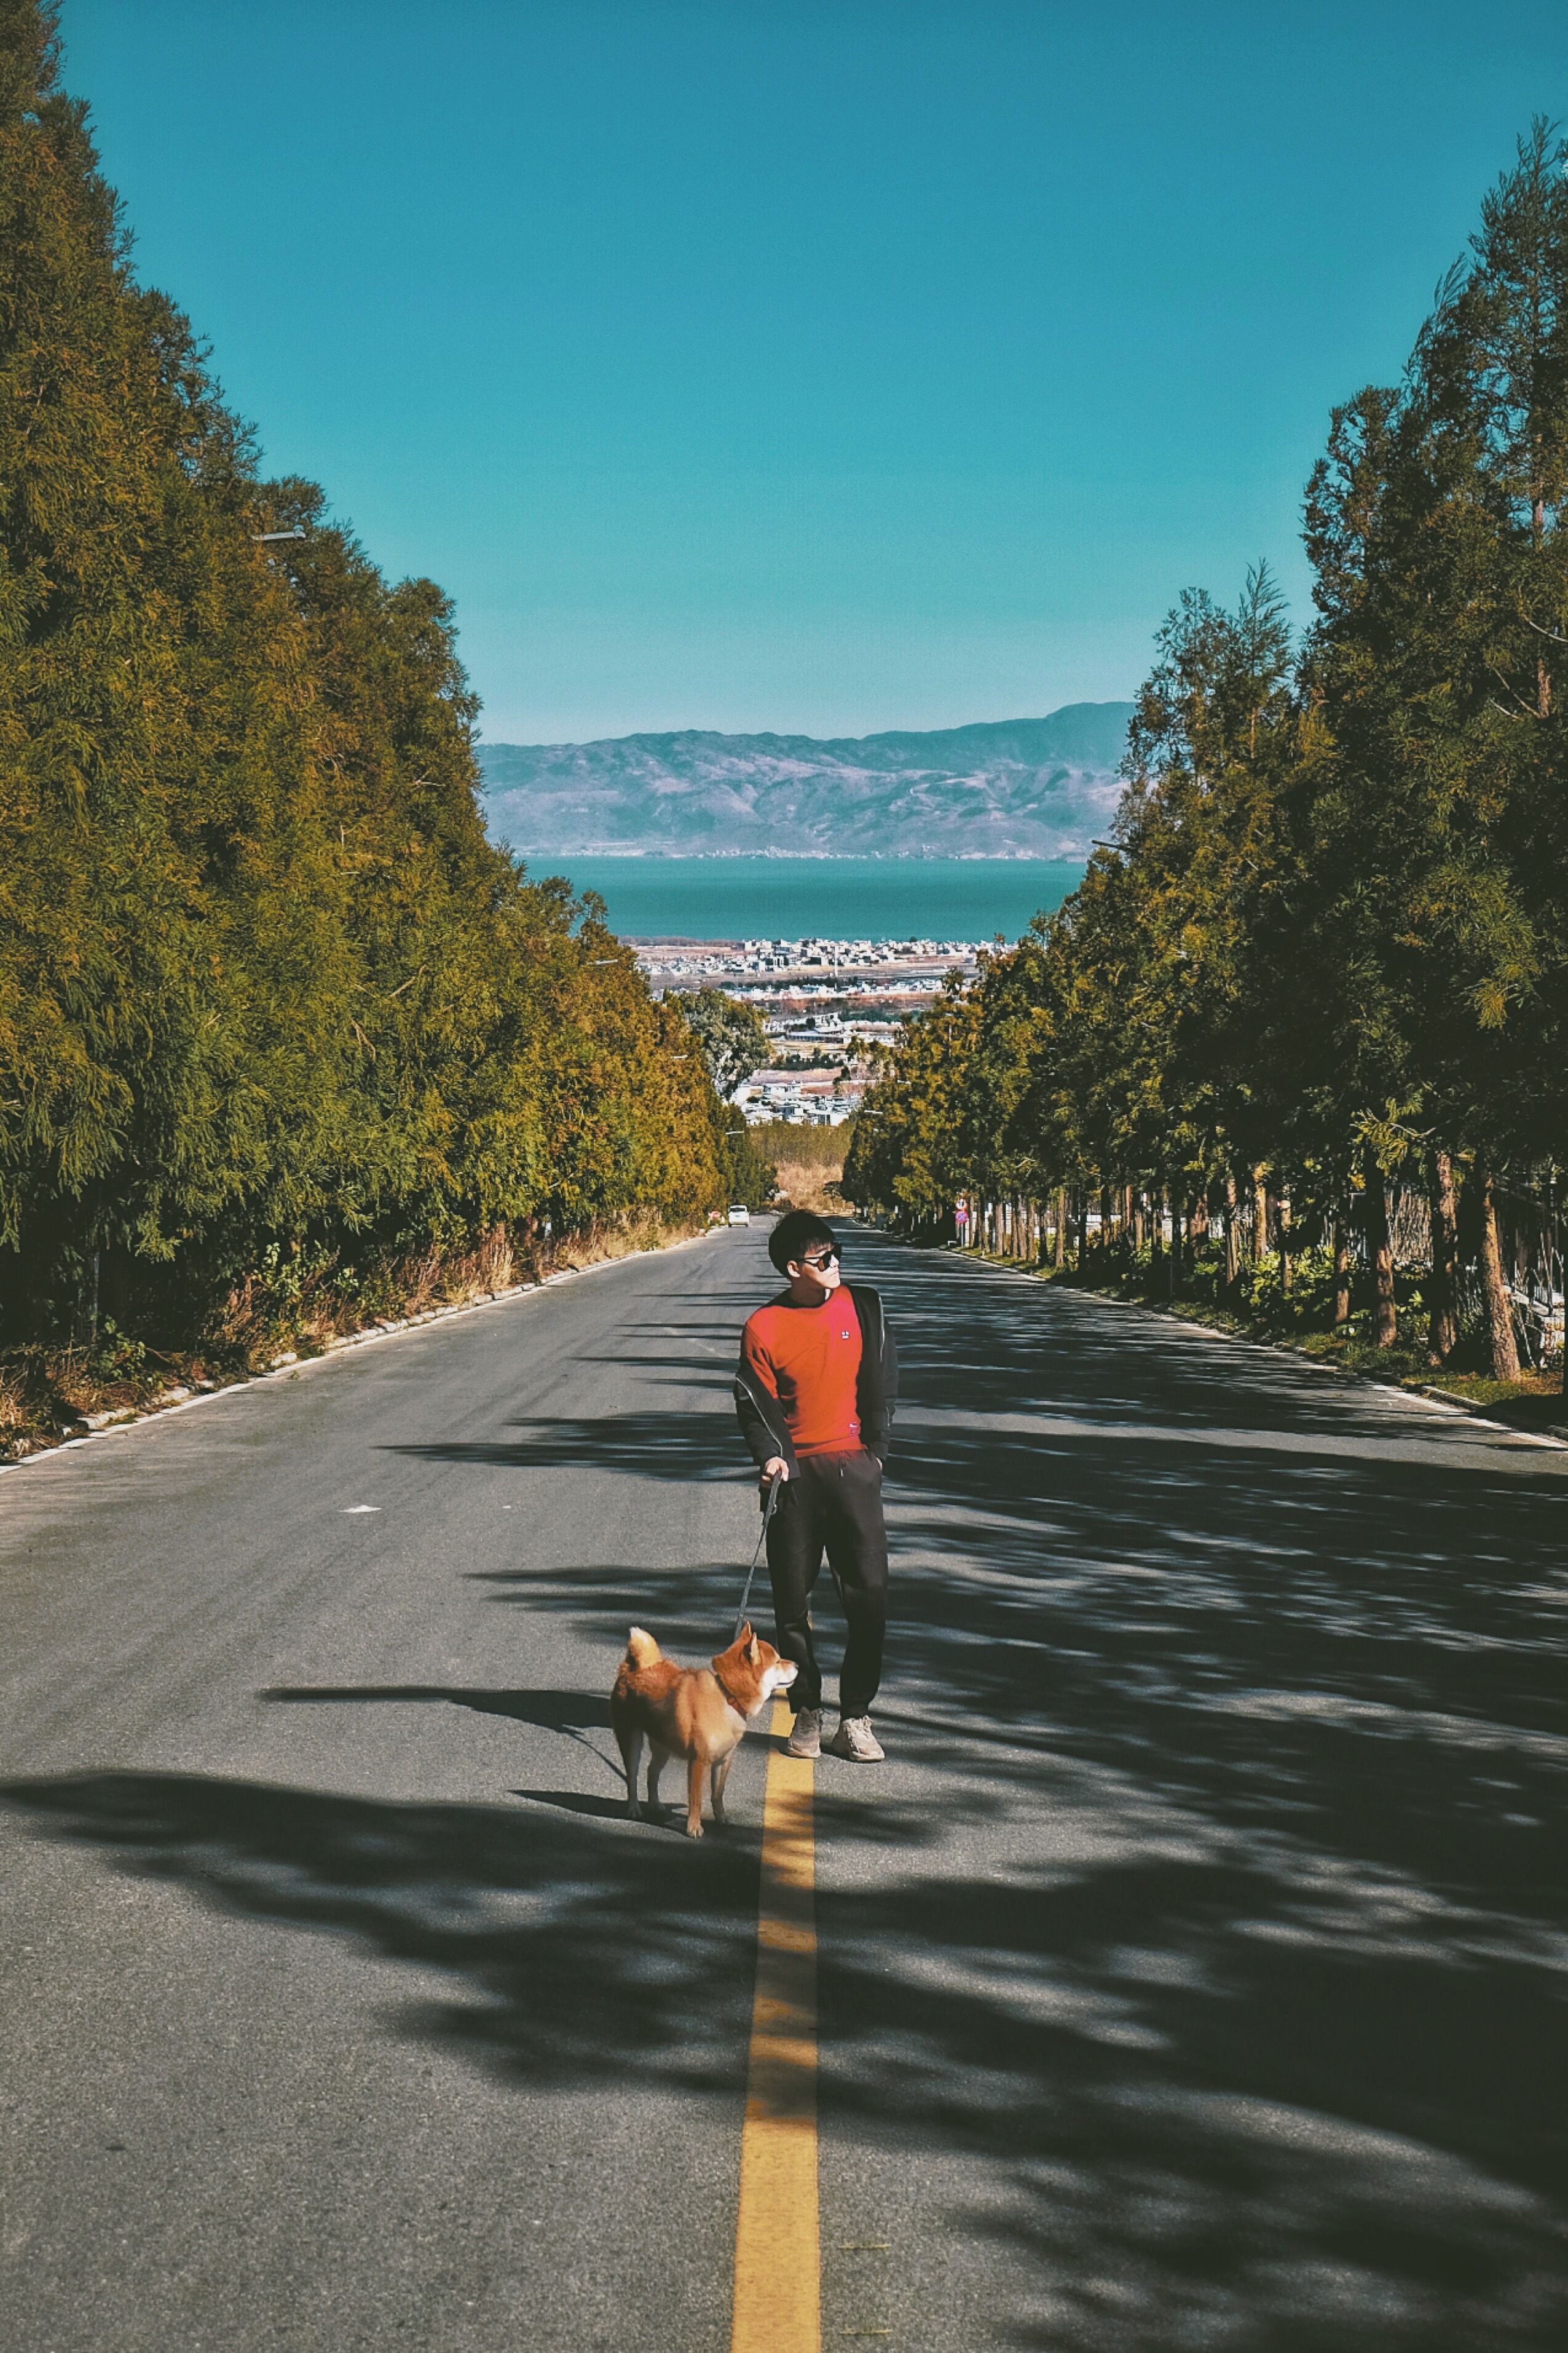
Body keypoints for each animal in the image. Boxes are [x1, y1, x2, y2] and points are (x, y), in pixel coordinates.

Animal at [611, 1618, 799, 1835]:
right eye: (777, 1661)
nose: (797, 1664)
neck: (727, 1696)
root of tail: (630, 1669)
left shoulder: (723, 1761)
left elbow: (717, 1795)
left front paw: (722, 1818)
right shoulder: (698, 1762)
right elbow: (696, 1801)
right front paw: (694, 1827)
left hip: (663, 1746)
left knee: (652, 1773)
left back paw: (655, 1804)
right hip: (631, 1742)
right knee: (632, 1778)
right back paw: (634, 1808)